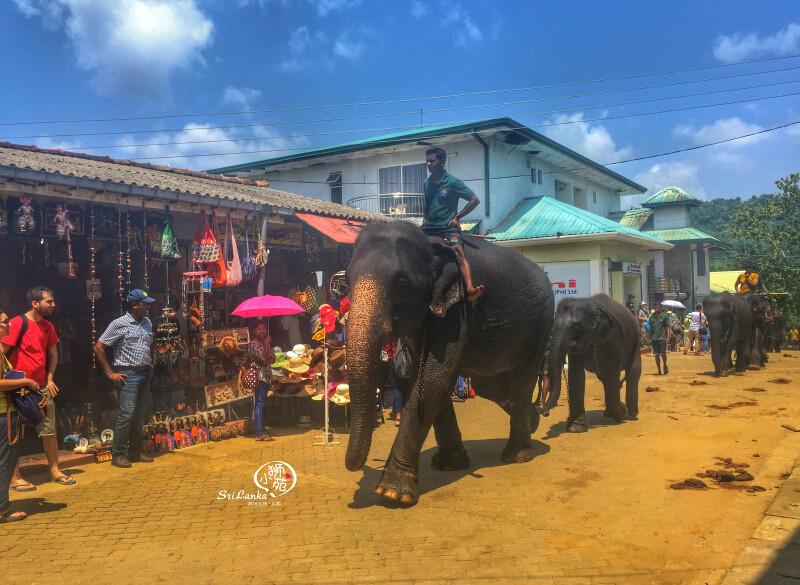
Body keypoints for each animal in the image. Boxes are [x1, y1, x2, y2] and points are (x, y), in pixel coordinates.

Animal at [344, 221, 556, 504]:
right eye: (346, 279)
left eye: (402, 282)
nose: (355, 468)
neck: (430, 244)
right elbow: (431, 380)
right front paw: (449, 465)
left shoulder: (459, 310)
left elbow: (434, 378)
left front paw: (392, 493)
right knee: (489, 384)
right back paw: (533, 421)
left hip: (541, 321)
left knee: (522, 381)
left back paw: (518, 456)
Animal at [536, 294, 644, 432]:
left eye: (576, 328)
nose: (545, 413)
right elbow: (576, 373)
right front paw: (576, 428)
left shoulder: (614, 338)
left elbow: (612, 371)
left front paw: (621, 413)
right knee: (604, 378)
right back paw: (610, 413)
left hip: (636, 340)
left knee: (632, 372)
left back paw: (631, 414)